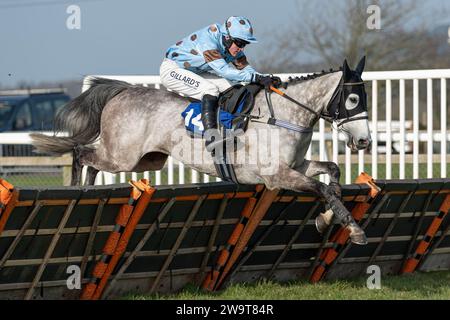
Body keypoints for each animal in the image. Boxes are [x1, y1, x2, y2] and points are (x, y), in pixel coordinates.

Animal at [29, 57, 370, 242]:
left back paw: (91, 192)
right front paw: (353, 230)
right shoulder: (276, 175)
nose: (364, 141)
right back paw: (77, 189)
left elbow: (333, 176)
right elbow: (322, 188)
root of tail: (122, 91)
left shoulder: (295, 167)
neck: (283, 115)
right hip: (122, 155)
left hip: (145, 161)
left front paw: (326, 219)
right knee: (81, 153)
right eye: (353, 99)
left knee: (93, 161)